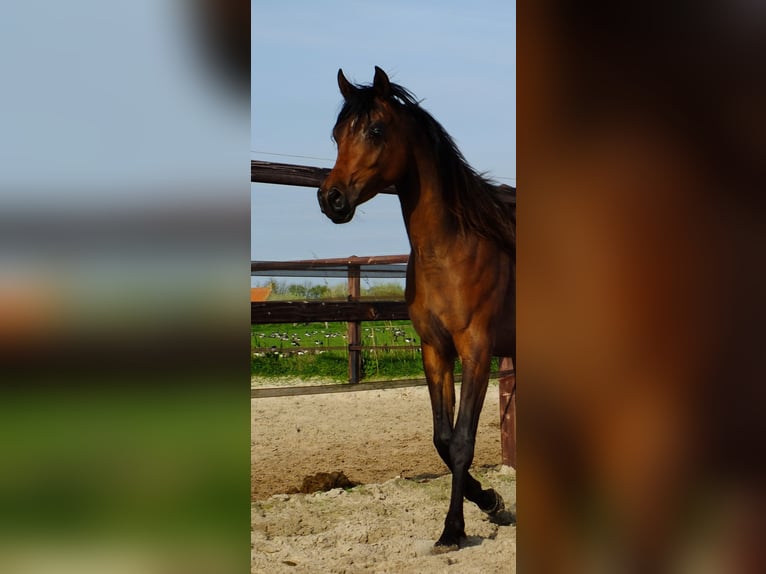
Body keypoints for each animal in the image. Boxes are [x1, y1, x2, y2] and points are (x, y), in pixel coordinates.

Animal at [318, 65, 516, 552]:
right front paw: (493, 503)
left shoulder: (477, 350)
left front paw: (453, 530)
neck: (448, 251)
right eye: (336, 134)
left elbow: (462, 441)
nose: (331, 199)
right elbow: (442, 440)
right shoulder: (435, 351)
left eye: (375, 129)